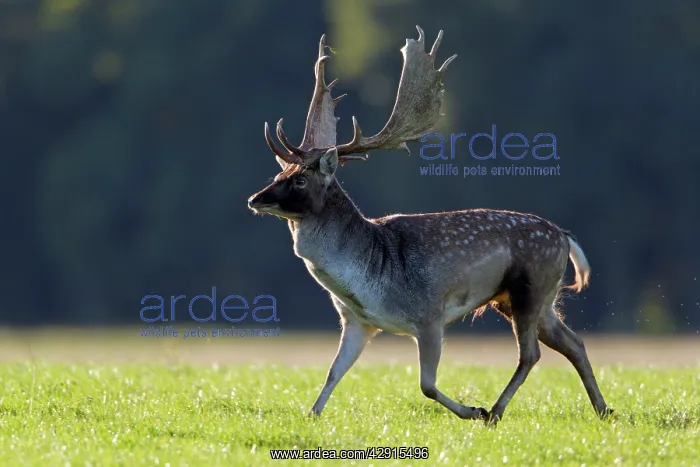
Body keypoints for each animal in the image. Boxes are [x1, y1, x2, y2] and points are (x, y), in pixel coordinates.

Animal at [247, 26, 613, 424]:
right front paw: (312, 414)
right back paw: (603, 408)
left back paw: (495, 410)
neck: (369, 279)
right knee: (573, 342)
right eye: (280, 172)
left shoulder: (429, 315)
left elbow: (426, 385)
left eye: (300, 180)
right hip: (534, 299)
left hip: (529, 288)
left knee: (531, 354)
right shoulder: (357, 322)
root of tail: (564, 236)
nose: (255, 199)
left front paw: (471, 409)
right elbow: (332, 372)